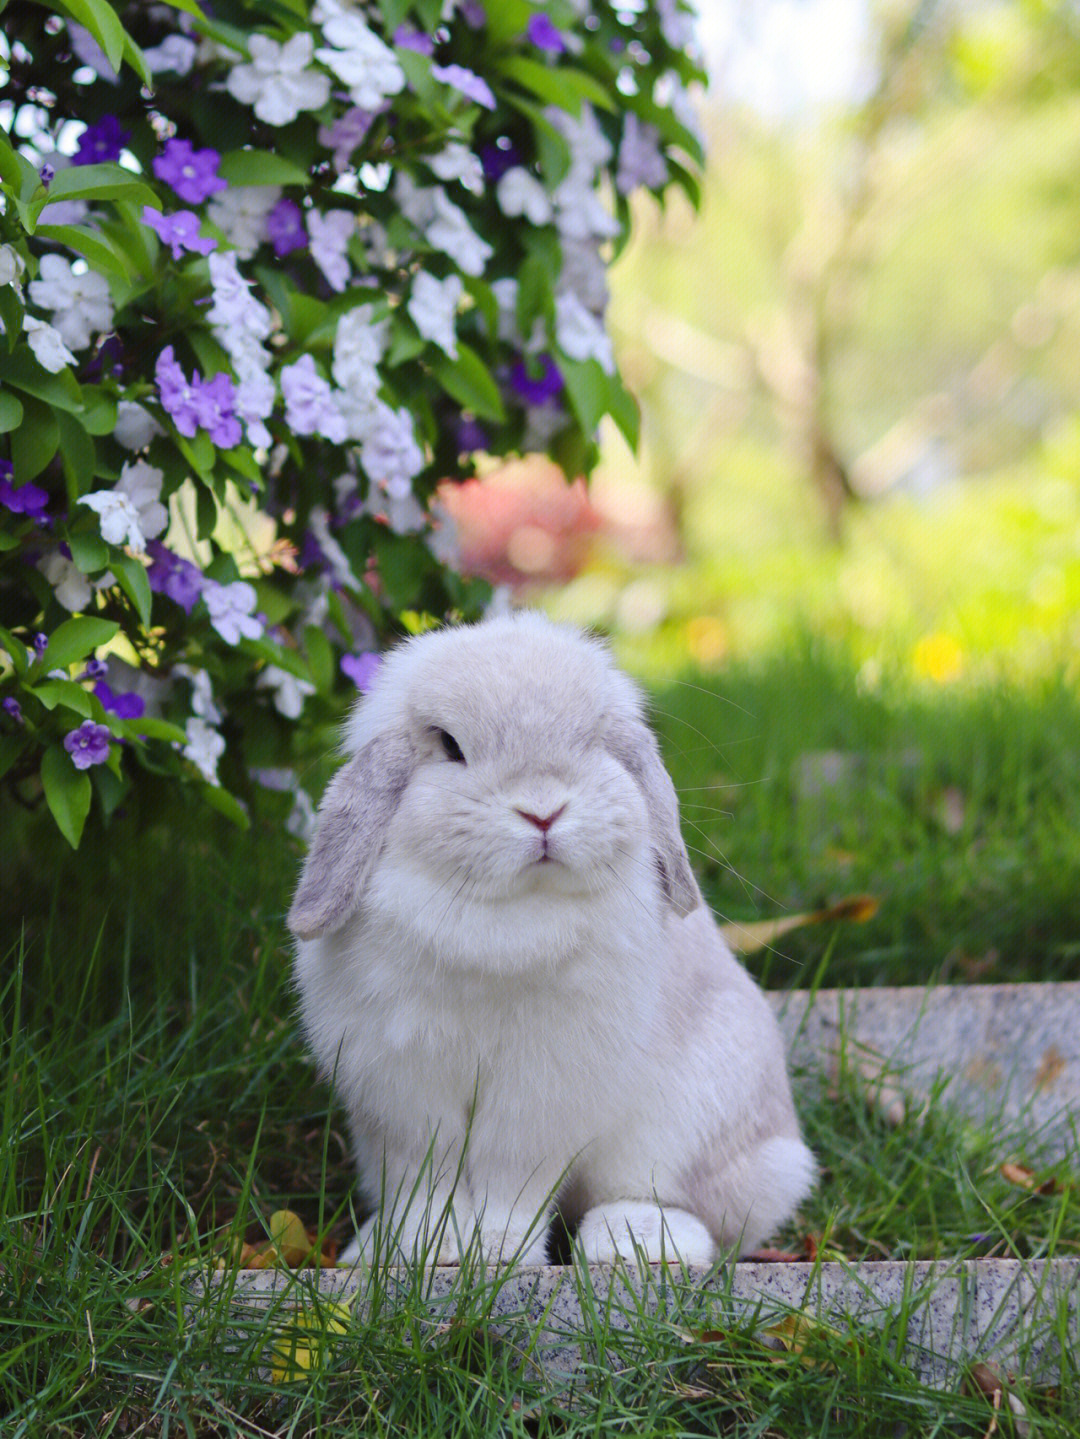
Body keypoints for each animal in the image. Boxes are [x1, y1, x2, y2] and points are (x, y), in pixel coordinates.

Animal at [291, 613, 816, 1266]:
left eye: (592, 743)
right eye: (450, 746)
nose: (543, 812)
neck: (513, 914)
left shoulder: (537, 1102)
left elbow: (509, 1183)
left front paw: (495, 1253)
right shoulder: (401, 1100)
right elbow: (423, 1184)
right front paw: (420, 1251)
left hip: (693, 1124)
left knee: (687, 1206)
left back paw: (635, 1243)